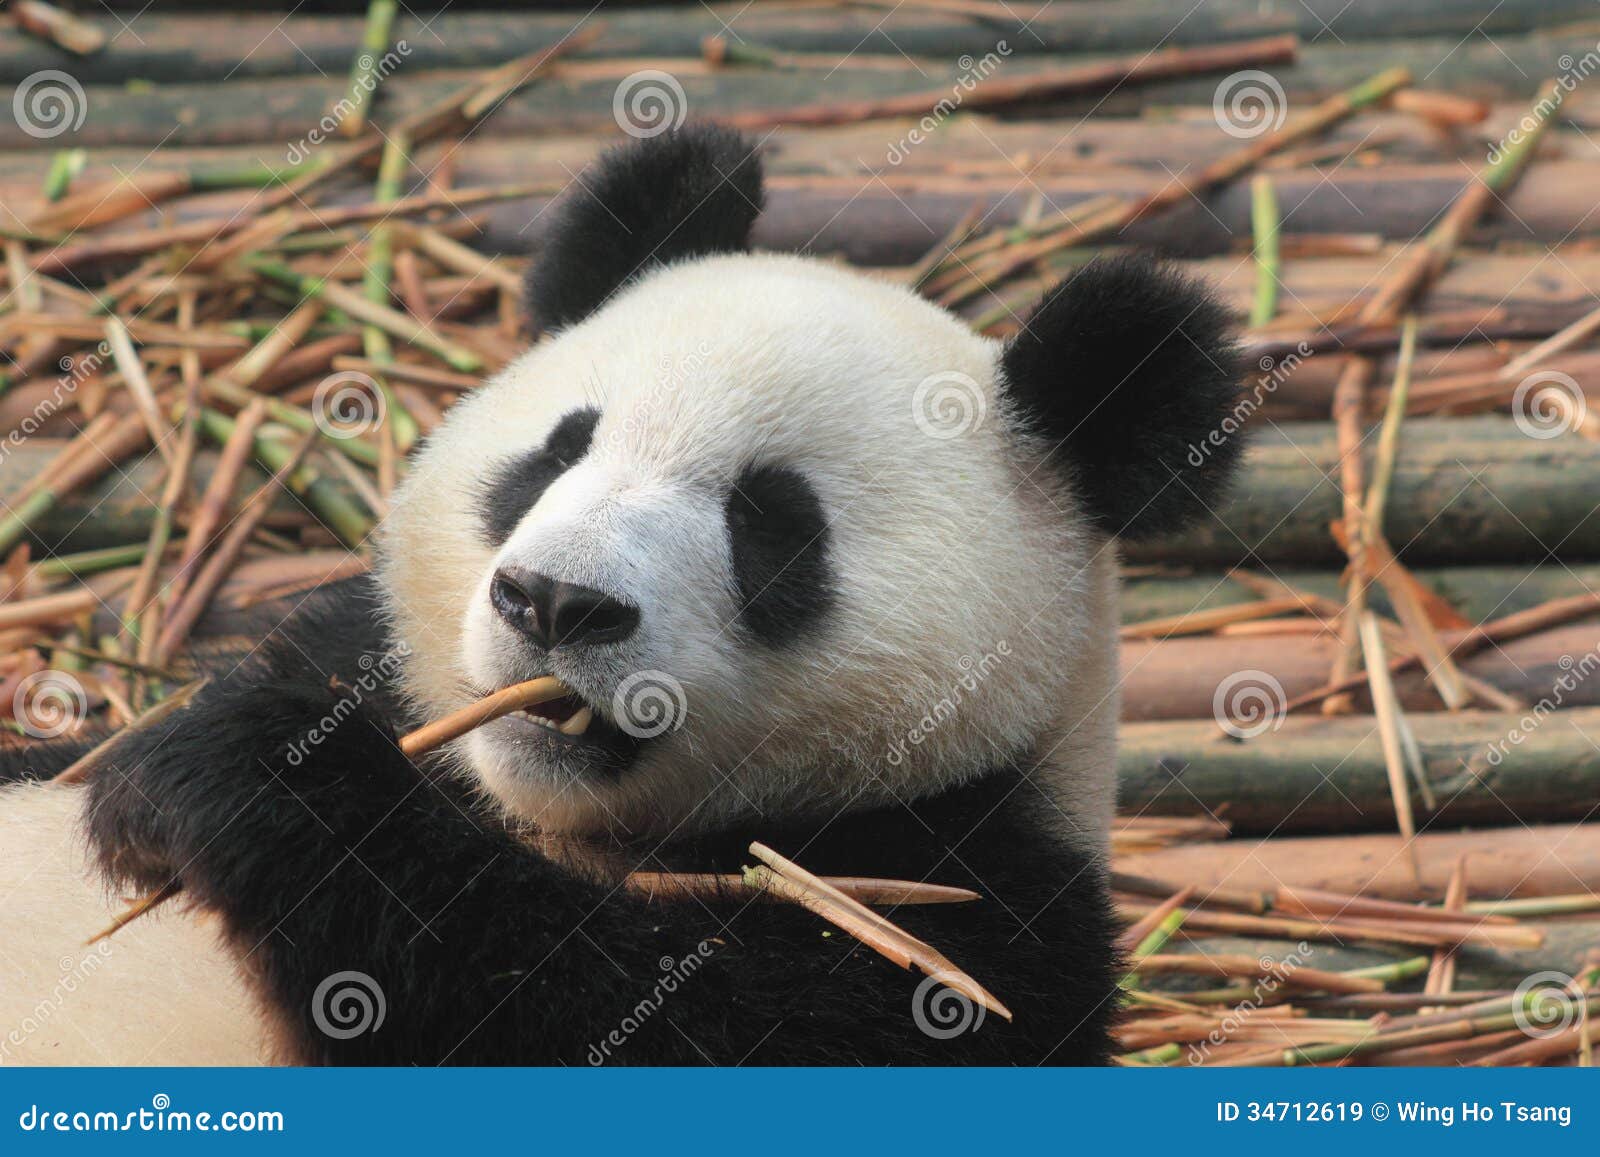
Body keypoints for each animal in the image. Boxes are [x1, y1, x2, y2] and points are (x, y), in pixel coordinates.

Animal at [0, 124, 1242, 1066]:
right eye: (558, 451)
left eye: (770, 524)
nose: (556, 601)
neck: (541, 813)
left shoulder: (968, 922)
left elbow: (616, 1016)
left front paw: (244, 780)